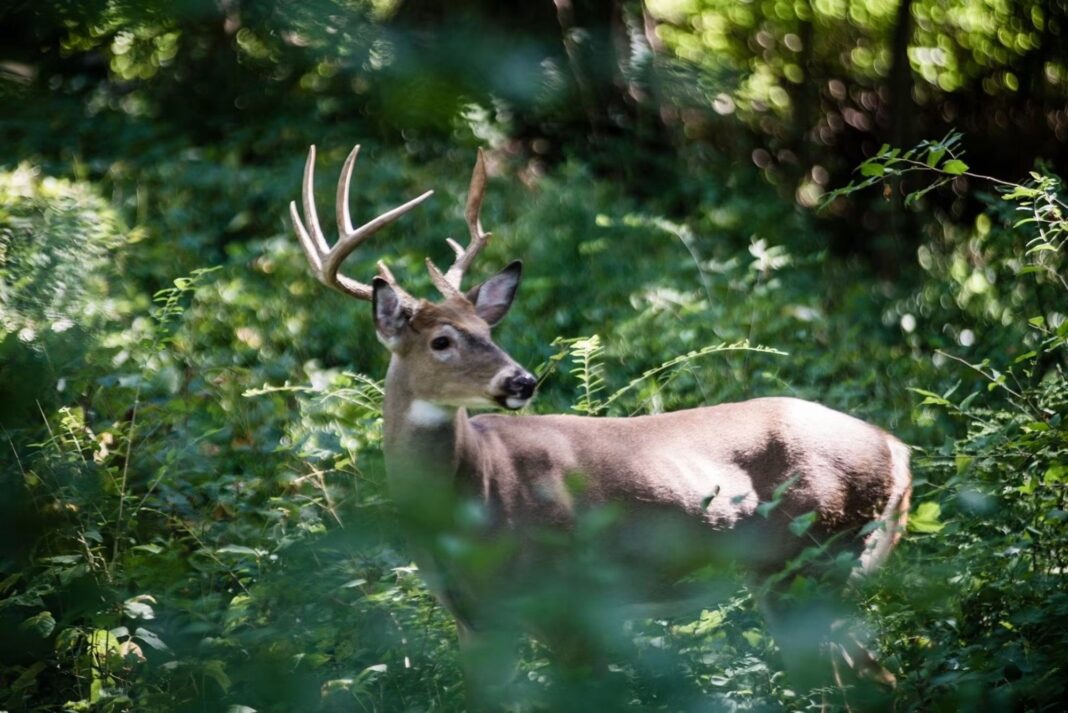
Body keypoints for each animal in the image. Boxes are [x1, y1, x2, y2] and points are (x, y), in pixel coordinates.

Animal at [288, 143, 913, 709]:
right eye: (442, 340)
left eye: (487, 332)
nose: (522, 380)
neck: (475, 498)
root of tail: (896, 448)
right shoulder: (476, 621)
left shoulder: (571, 604)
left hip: (812, 559)